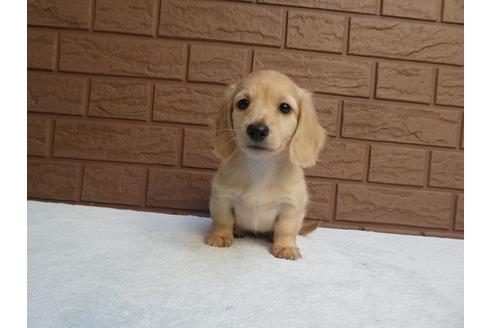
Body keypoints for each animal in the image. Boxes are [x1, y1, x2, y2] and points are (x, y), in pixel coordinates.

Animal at [206, 70, 324, 260]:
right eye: (243, 103)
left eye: (285, 108)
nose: (257, 130)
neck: (261, 166)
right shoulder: (222, 197)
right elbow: (223, 220)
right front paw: (220, 236)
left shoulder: (292, 206)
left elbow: (286, 229)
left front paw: (285, 247)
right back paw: (238, 230)